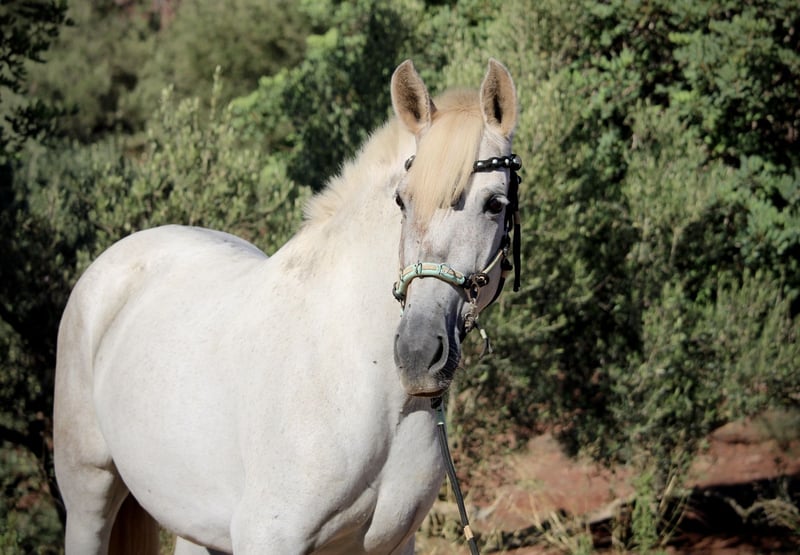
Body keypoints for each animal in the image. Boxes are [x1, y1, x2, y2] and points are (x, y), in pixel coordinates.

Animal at [53, 58, 520, 554]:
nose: (417, 353)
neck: (360, 377)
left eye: (495, 204)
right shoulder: (268, 536)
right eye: (401, 200)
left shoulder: (393, 544)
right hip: (88, 494)